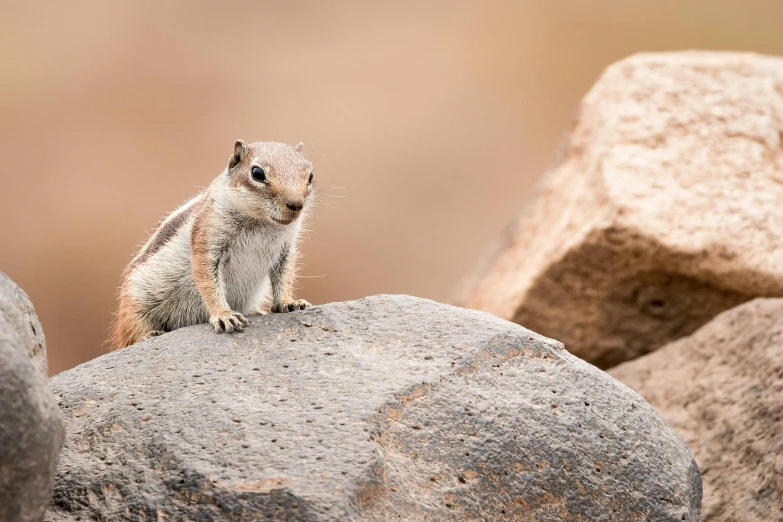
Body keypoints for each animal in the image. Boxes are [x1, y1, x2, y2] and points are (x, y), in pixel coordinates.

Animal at [112, 140, 314, 348]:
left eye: (310, 175)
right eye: (257, 173)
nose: (296, 204)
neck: (261, 221)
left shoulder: (286, 249)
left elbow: (285, 275)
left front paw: (289, 302)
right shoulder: (207, 240)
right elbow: (208, 282)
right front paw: (225, 315)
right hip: (135, 302)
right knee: (132, 330)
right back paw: (149, 334)